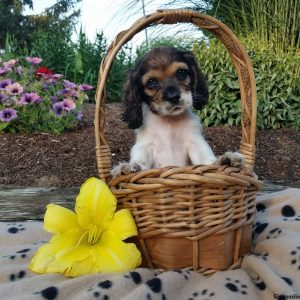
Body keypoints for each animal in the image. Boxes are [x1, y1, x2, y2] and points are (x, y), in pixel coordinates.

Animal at [111, 47, 243, 178]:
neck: (169, 121)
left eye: (181, 72)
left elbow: (206, 161)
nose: (173, 96)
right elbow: (141, 162)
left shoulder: (195, 142)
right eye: (152, 82)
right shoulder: (144, 146)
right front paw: (129, 167)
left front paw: (221, 161)